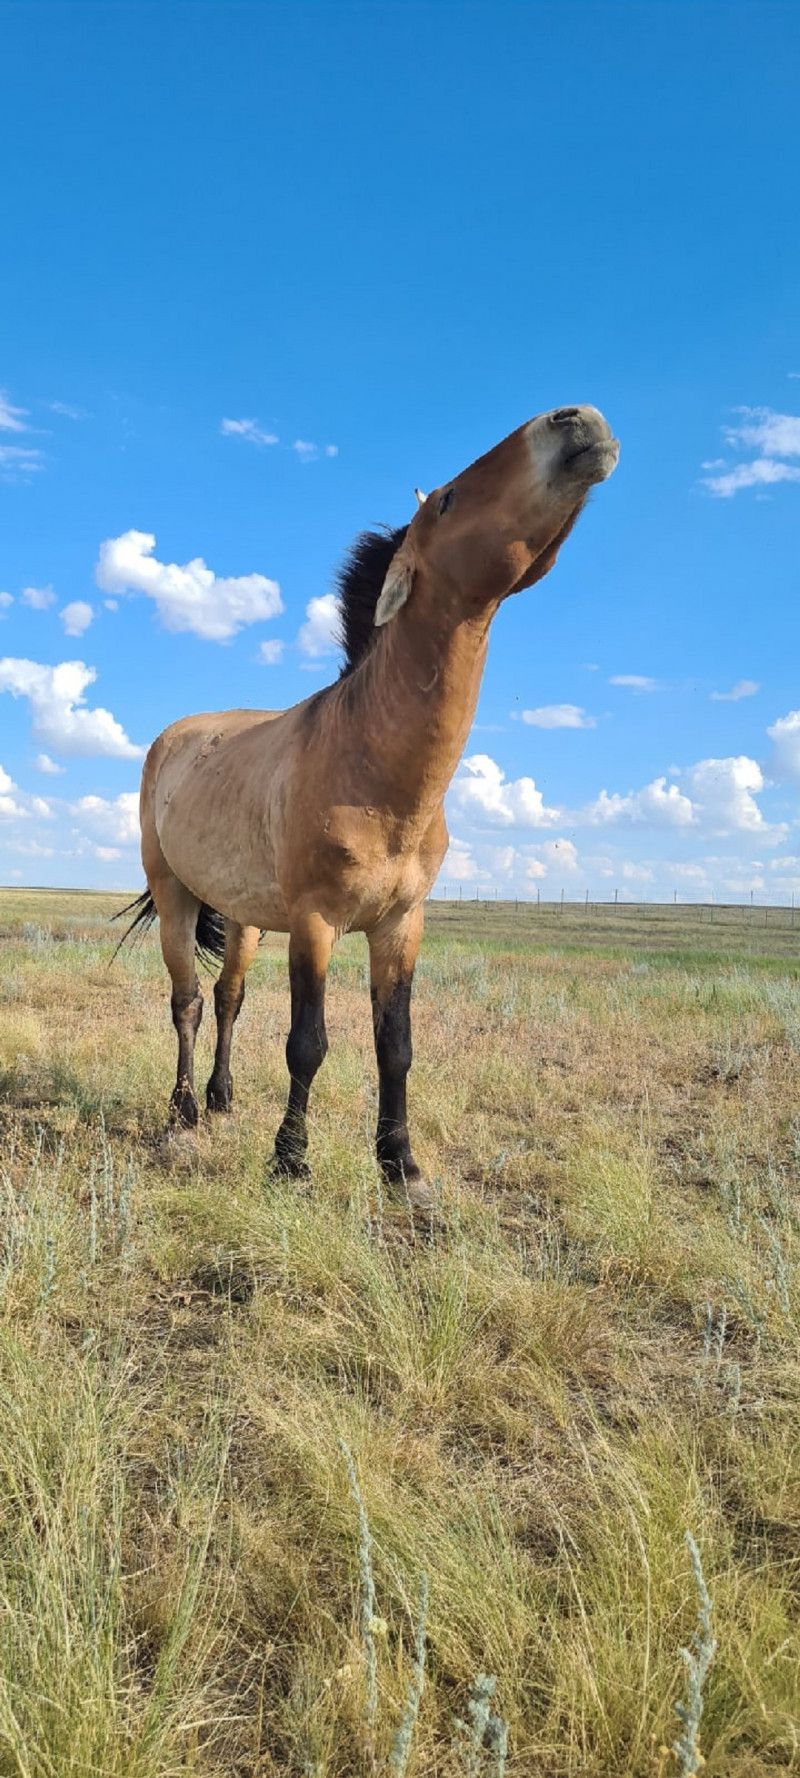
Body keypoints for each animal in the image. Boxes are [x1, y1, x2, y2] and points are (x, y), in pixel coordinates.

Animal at [121, 405, 618, 1216]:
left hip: (248, 918)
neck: (371, 770)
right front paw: (291, 1162)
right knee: (187, 1002)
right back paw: (184, 1115)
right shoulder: (317, 924)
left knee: (228, 998)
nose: (576, 420)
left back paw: (222, 1099)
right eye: (446, 500)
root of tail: (173, 738)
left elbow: (396, 1046)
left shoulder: (400, 926)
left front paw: (402, 1168)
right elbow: (309, 1043)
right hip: (175, 897)